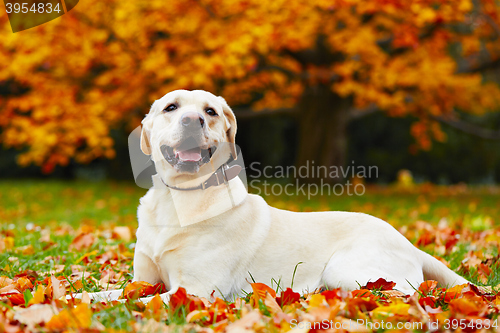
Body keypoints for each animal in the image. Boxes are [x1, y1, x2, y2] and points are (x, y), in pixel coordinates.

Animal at [80, 89, 466, 302]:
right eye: (171, 108)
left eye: (210, 112)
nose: (192, 120)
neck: (180, 198)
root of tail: (410, 243)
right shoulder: (143, 281)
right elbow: (104, 295)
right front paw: (73, 296)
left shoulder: (195, 290)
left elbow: (137, 304)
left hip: (346, 269)